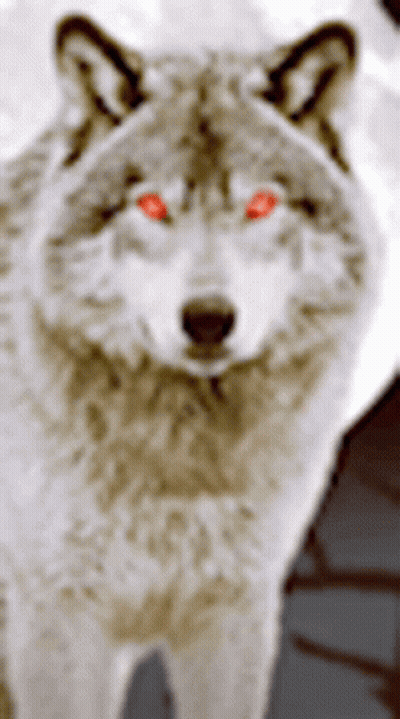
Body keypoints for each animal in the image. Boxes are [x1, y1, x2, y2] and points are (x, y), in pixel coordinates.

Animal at [0, 13, 384, 719]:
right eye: (153, 206)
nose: (208, 319)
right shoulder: (58, 619)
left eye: (260, 205)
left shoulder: (234, 613)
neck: (181, 466)